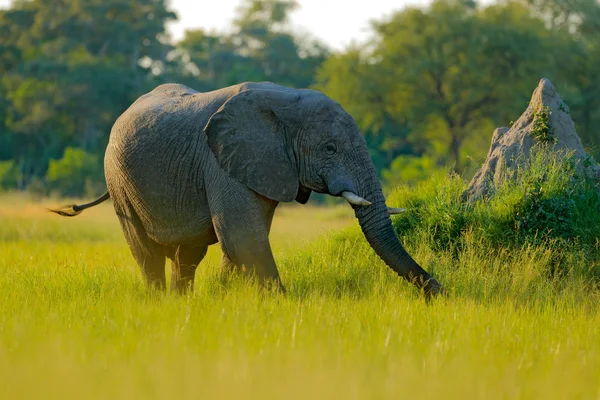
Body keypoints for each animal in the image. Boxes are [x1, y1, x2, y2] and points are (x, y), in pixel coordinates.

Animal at [51, 81, 442, 296]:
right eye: (330, 148)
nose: (440, 293)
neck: (285, 101)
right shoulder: (221, 159)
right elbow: (243, 236)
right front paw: (284, 306)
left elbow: (239, 240)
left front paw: (223, 301)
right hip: (118, 179)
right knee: (146, 252)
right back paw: (160, 303)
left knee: (188, 253)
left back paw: (181, 304)